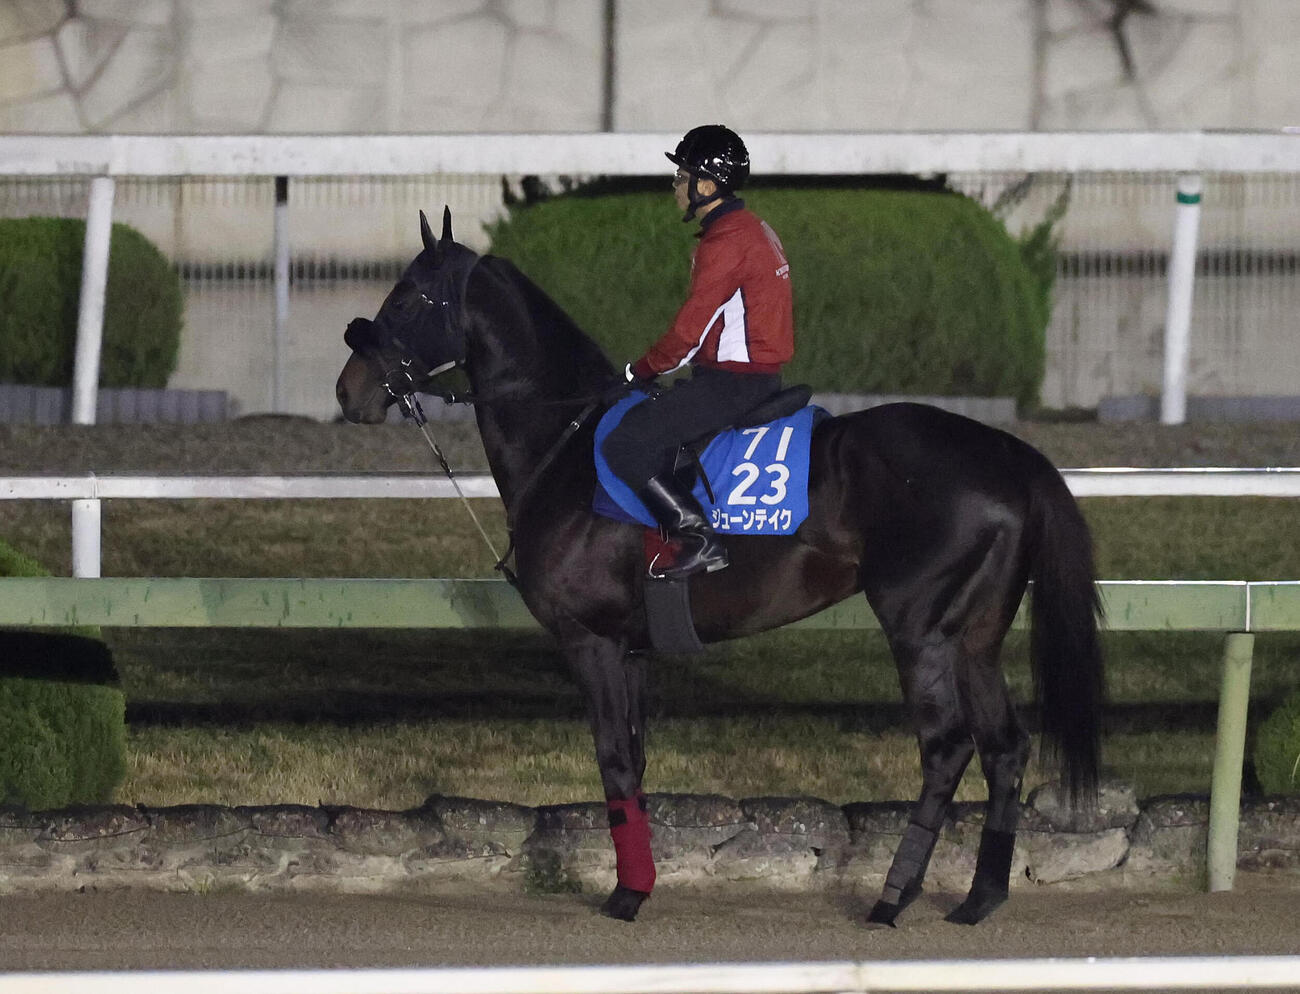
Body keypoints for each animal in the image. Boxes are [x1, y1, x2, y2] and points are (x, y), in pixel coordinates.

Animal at [335, 209, 1105, 927]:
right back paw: (979, 898)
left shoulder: (592, 642)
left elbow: (614, 761)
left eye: (406, 298)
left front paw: (626, 894)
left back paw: (893, 897)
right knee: (1004, 747)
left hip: (920, 631)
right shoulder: (632, 650)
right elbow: (635, 763)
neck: (568, 445)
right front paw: (640, 880)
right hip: (975, 636)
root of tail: (1010, 453)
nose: (349, 390)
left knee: (946, 748)